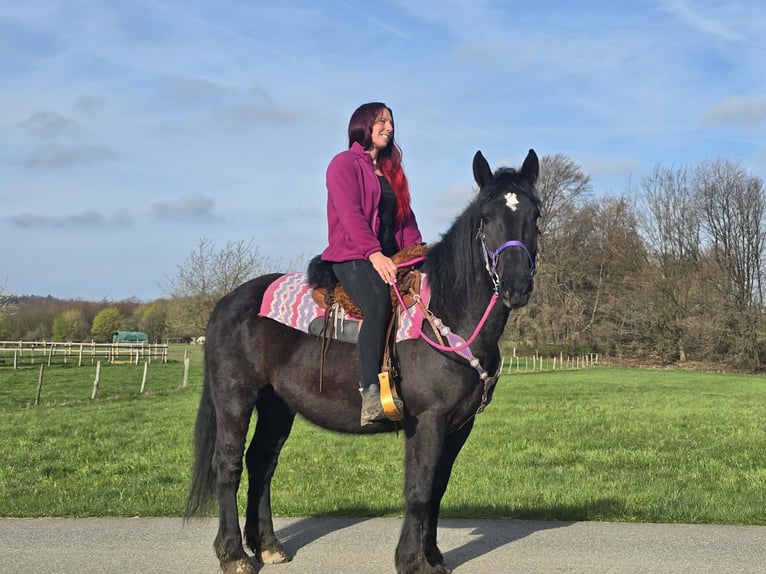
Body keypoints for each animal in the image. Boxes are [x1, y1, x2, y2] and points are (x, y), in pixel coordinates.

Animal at [185, 149, 541, 574]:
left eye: (535, 216)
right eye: (486, 218)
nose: (516, 286)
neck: (447, 311)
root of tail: (227, 302)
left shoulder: (459, 425)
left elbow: (438, 489)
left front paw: (434, 556)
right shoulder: (428, 421)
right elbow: (419, 490)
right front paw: (411, 561)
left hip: (277, 405)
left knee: (262, 464)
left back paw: (268, 546)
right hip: (235, 399)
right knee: (229, 466)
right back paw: (234, 554)